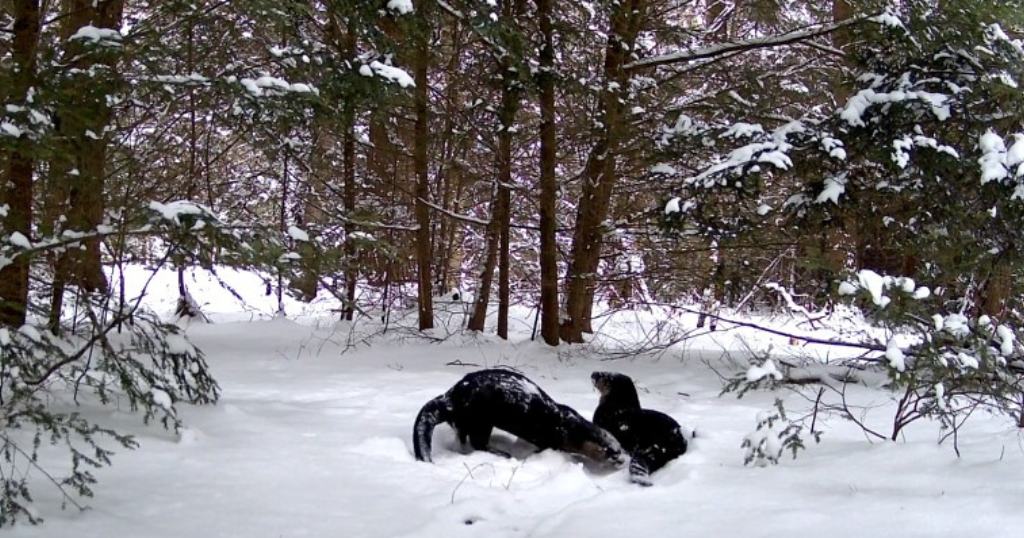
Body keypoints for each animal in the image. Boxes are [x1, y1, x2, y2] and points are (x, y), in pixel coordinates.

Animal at [413, 369, 625, 467]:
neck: (569, 429)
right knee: (478, 443)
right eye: (611, 452)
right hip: (480, 417)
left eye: (620, 449)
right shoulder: (551, 438)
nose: (623, 460)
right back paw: (503, 454)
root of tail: (452, 396)